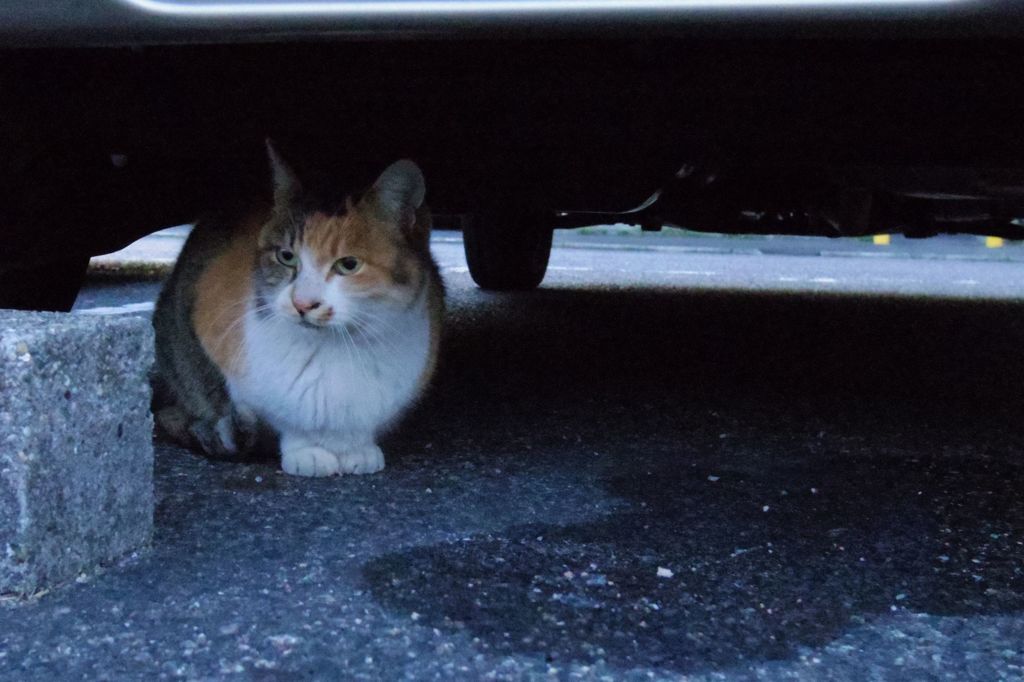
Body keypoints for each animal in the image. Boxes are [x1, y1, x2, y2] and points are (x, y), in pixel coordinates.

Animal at [151, 142, 444, 473]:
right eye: (286, 256)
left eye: (349, 264)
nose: (303, 303)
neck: (336, 346)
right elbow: (285, 418)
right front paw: (308, 452)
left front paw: (357, 449)